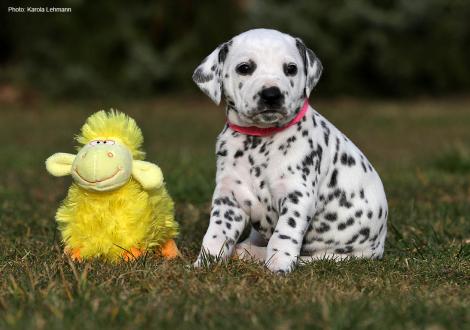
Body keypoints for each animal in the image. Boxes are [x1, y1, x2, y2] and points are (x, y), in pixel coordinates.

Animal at [192, 28, 390, 272]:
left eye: (291, 69)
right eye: (244, 68)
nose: (271, 94)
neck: (259, 141)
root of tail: (379, 247)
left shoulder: (297, 196)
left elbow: (284, 234)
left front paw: (279, 264)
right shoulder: (229, 198)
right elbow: (216, 233)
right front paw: (205, 262)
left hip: (338, 255)